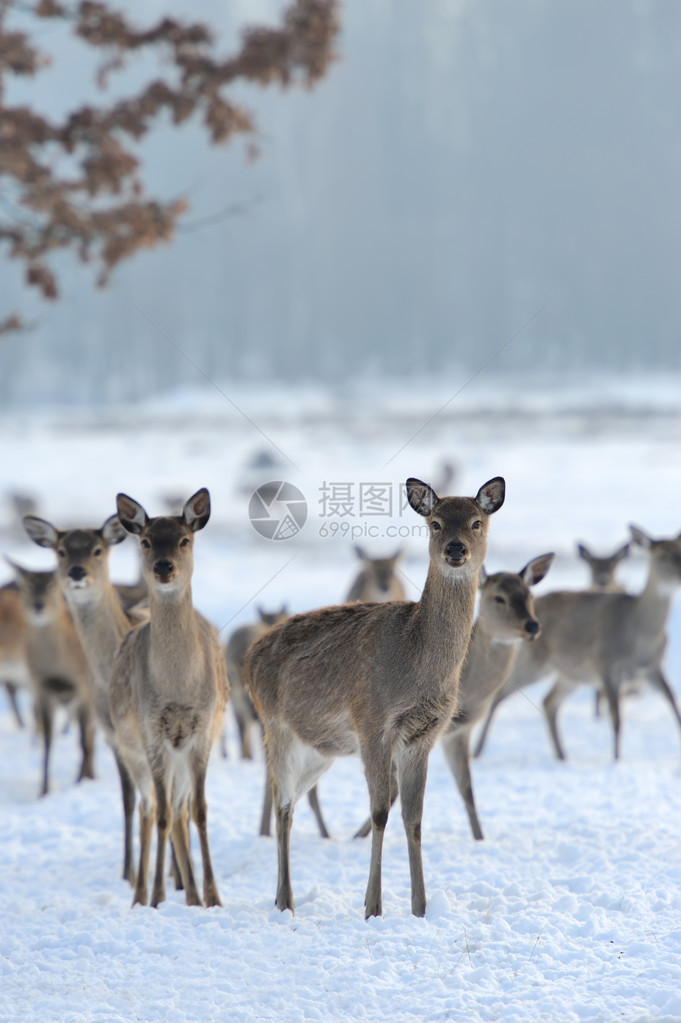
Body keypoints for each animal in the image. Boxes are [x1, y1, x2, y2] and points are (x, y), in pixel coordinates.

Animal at [6, 560, 94, 789]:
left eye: (52, 585)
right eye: (27, 585)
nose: (39, 605)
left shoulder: (84, 689)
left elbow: (83, 741)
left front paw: (79, 782)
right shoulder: (40, 689)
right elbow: (47, 743)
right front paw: (44, 790)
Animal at [108, 491, 228, 908]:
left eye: (184, 540)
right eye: (145, 541)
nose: (164, 566)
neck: (177, 686)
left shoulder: (202, 731)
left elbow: (201, 811)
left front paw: (213, 896)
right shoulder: (152, 733)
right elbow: (160, 814)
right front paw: (158, 896)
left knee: (180, 809)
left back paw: (191, 894)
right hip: (136, 752)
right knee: (155, 809)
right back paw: (147, 893)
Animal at [245, 472, 503, 920]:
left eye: (476, 522)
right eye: (435, 523)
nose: (456, 550)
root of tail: (249, 657)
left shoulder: (423, 736)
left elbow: (413, 818)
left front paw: (420, 907)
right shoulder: (372, 725)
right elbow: (380, 812)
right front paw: (373, 907)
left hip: (320, 751)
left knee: (291, 801)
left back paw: (281, 898)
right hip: (276, 728)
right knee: (283, 807)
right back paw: (286, 900)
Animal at [470, 527, 678, 761]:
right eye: (662, 556)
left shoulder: (653, 667)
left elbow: (673, 703)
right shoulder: (608, 666)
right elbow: (616, 719)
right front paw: (616, 759)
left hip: (571, 675)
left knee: (549, 701)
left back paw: (562, 756)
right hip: (532, 662)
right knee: (501, 694)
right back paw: (477, 752)